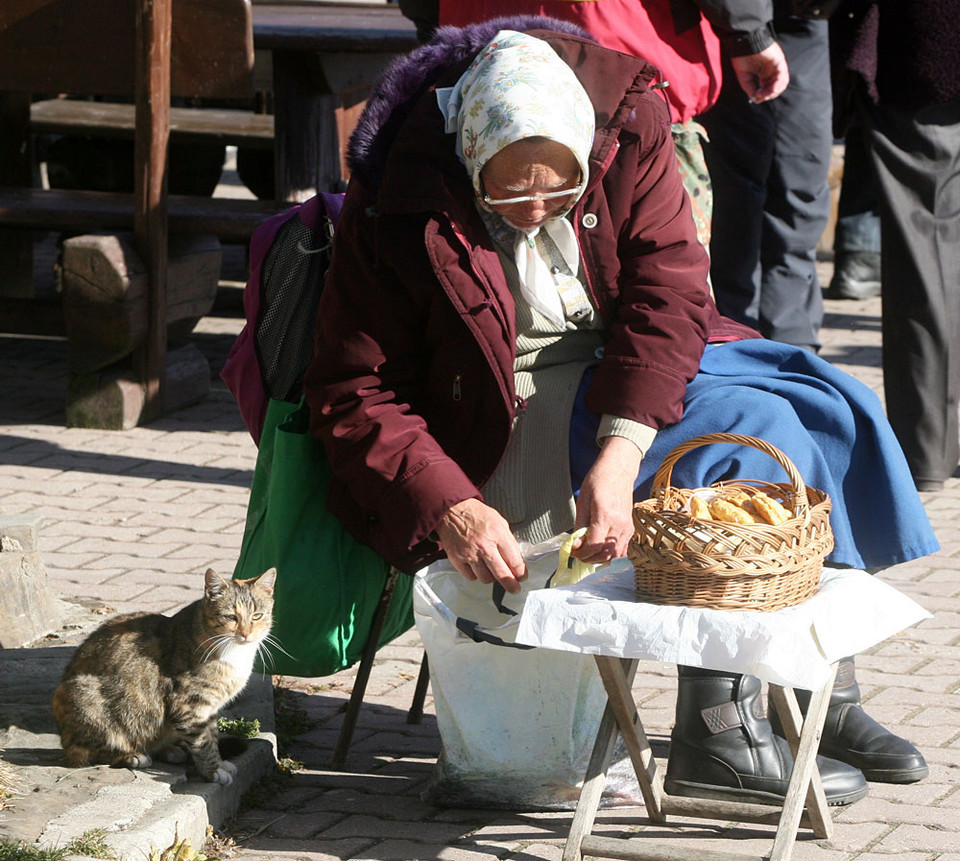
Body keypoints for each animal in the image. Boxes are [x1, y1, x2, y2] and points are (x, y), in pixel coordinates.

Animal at [52, 568, 276, 784]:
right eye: (231, 617)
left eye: (257, 616)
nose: (245, 634)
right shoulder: (189, 704)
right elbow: (203, 742)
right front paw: (213, 771)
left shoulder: (210, 708)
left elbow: (211, 734)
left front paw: (219, 763)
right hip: (81, 696)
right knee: (85, 752)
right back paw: (130, 755)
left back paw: (171, 750)